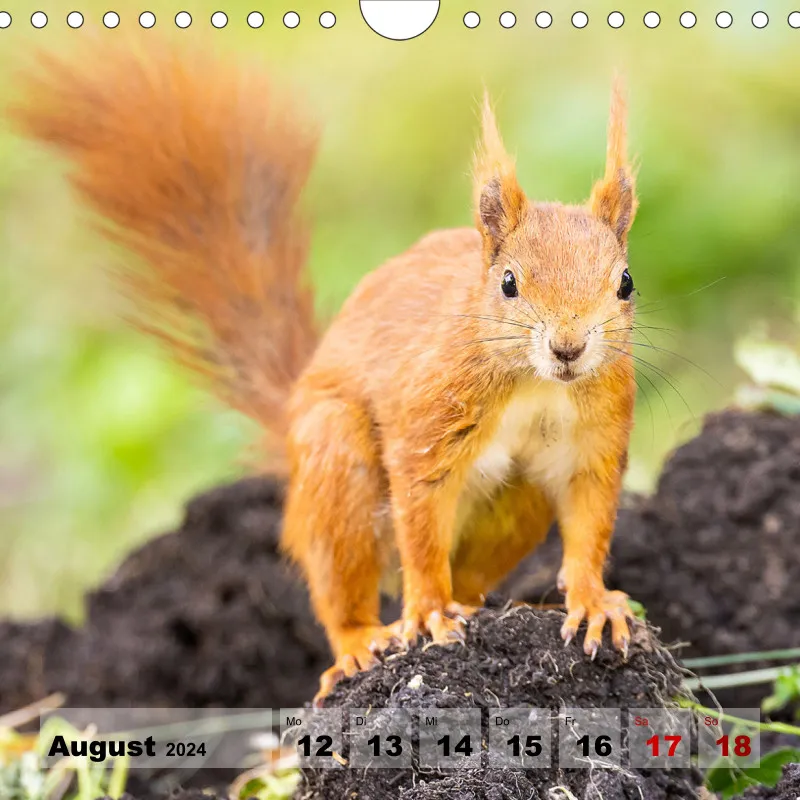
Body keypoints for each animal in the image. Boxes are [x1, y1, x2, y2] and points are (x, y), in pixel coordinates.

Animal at [13, 40, 638, 702]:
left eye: (625, 282)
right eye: (509, 283)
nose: (569, 348)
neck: (534, 384)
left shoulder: (596, 439)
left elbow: (591, 520)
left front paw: (594, 601)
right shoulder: (427, 421)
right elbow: (421, 522)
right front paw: (427, 611)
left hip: (517, 504)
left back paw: (483, 607)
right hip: (335, 465)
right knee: (345, 589)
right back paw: (366, 640)